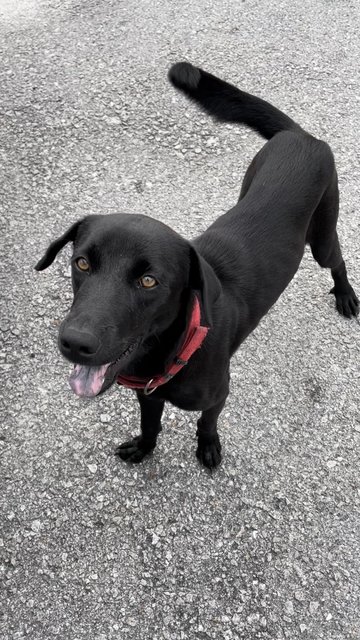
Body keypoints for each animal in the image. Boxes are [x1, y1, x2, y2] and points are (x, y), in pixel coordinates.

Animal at [35, 62, 358, 468]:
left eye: (149, 281)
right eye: (81, 263)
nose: (76, 343)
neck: (171, 350)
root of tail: (299, 135)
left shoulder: (218, 394)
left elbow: (206, 422)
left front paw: (208, 447)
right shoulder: (148, 394)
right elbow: (150, 425)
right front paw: (143, 448)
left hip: (322, 236)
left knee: (338, 259)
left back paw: (346, 296)